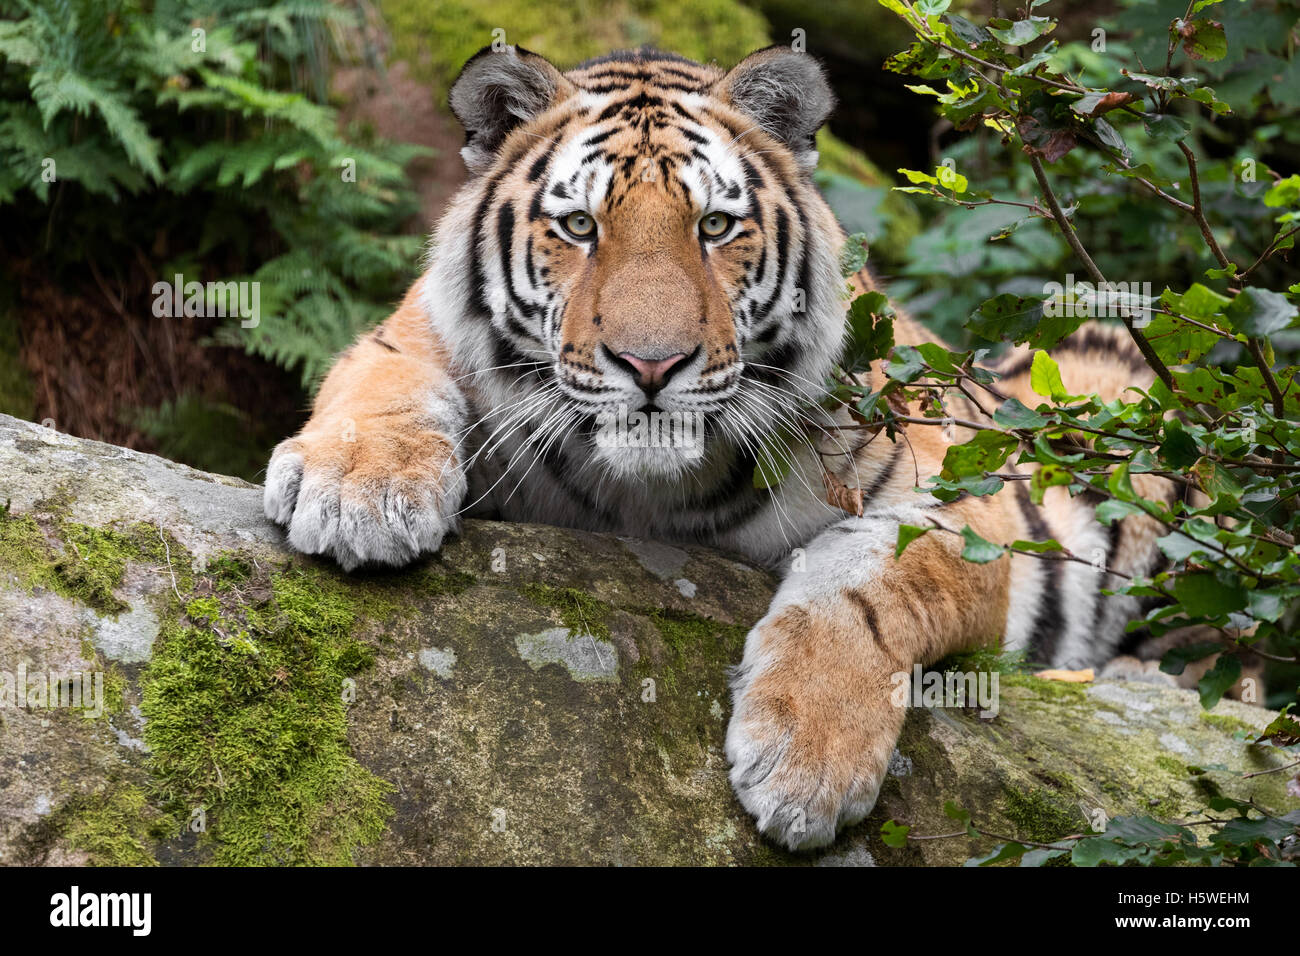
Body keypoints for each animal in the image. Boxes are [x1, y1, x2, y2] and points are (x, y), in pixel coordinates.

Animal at [263, 44, 1196, 853]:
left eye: (714, 225)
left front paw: (805, 765)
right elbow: (386, 382)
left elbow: (872, 582)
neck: (648, 492)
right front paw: (360, 496)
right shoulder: (411, 336)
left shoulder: (963, 507)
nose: (650, 364)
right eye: (578, 226)